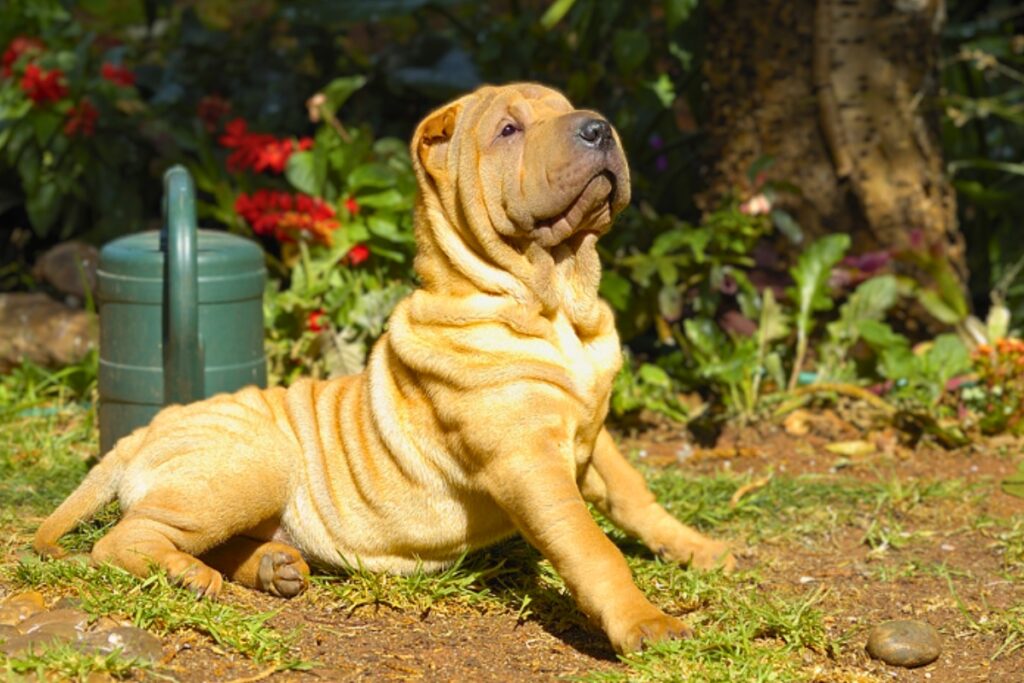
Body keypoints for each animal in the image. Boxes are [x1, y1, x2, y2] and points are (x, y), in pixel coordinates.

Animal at [34, 82, 737, 655]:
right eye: (509, 130)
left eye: (570, 112)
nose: (598, 127)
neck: (558, 304)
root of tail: (141, 433)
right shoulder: (529, 460)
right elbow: (592, 545)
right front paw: (645, 623)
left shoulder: (593, 435)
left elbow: (635, 497)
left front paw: (701, 549)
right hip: (254, 463)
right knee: (124, 540)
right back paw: (190, 576)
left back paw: (271, 567)